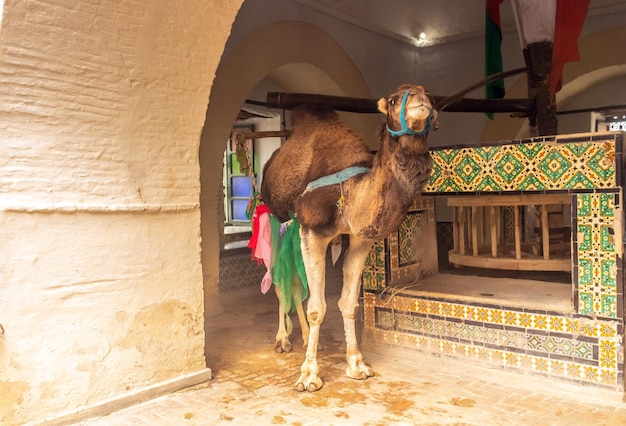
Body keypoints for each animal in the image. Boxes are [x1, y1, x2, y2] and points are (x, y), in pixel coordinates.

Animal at [258, 84, 434, 392]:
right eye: (393, 99)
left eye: (428, 93)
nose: (419, 98)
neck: (350, 191)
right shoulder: (312, 230)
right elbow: (317, 308)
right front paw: (308, 376)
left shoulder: (359, 240)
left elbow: (349, 303)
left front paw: (356, 365)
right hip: (276, 218)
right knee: (280, 282)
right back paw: (282, 340)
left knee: (295, 282)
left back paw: (306, 339)